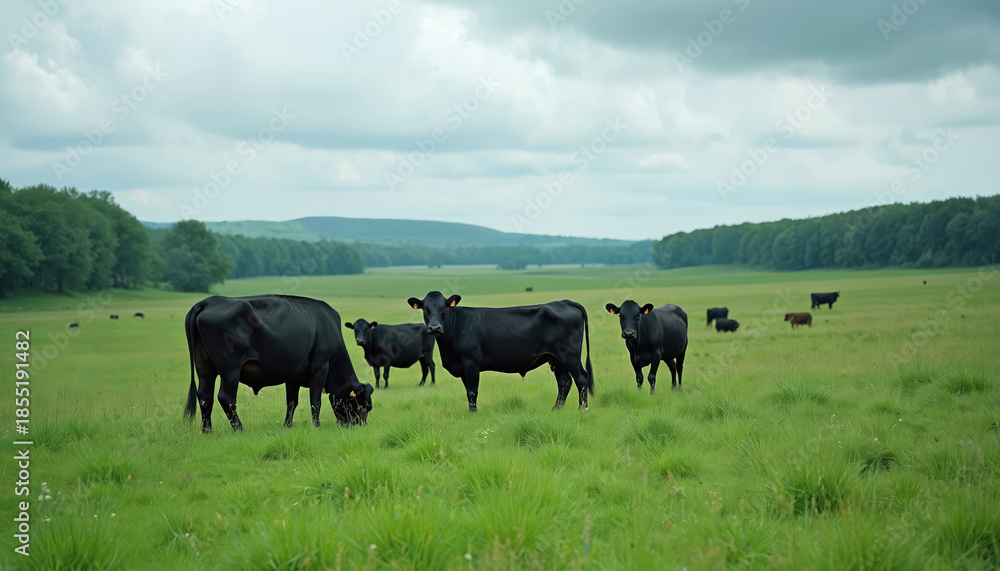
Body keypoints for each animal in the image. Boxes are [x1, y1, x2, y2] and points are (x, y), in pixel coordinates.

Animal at [183, 295, 373, 432]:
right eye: (363, 406)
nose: (360, 426)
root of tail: (208, 302)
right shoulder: (320, 366)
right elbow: (315, 401)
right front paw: (317, 426)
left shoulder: (293, 376)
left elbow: (292, 403)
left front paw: (287, 425)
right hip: (230, 370)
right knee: (226, 397)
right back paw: (239, 428)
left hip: (205, 369)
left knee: (205, 397)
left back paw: (207, 430)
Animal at [407, 291, 593, 412]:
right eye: (425, 310)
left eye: (444, 309)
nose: (435, 328)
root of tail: (563, 302)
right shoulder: (462, 368)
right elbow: (468, 392)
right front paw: (472, 411)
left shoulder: (471, 362)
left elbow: (472, 391)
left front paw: (473, 414)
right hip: (556, 359)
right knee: (564, 382)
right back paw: (555, 409)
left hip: (570, 356)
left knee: (581, 379)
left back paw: (582, 409)